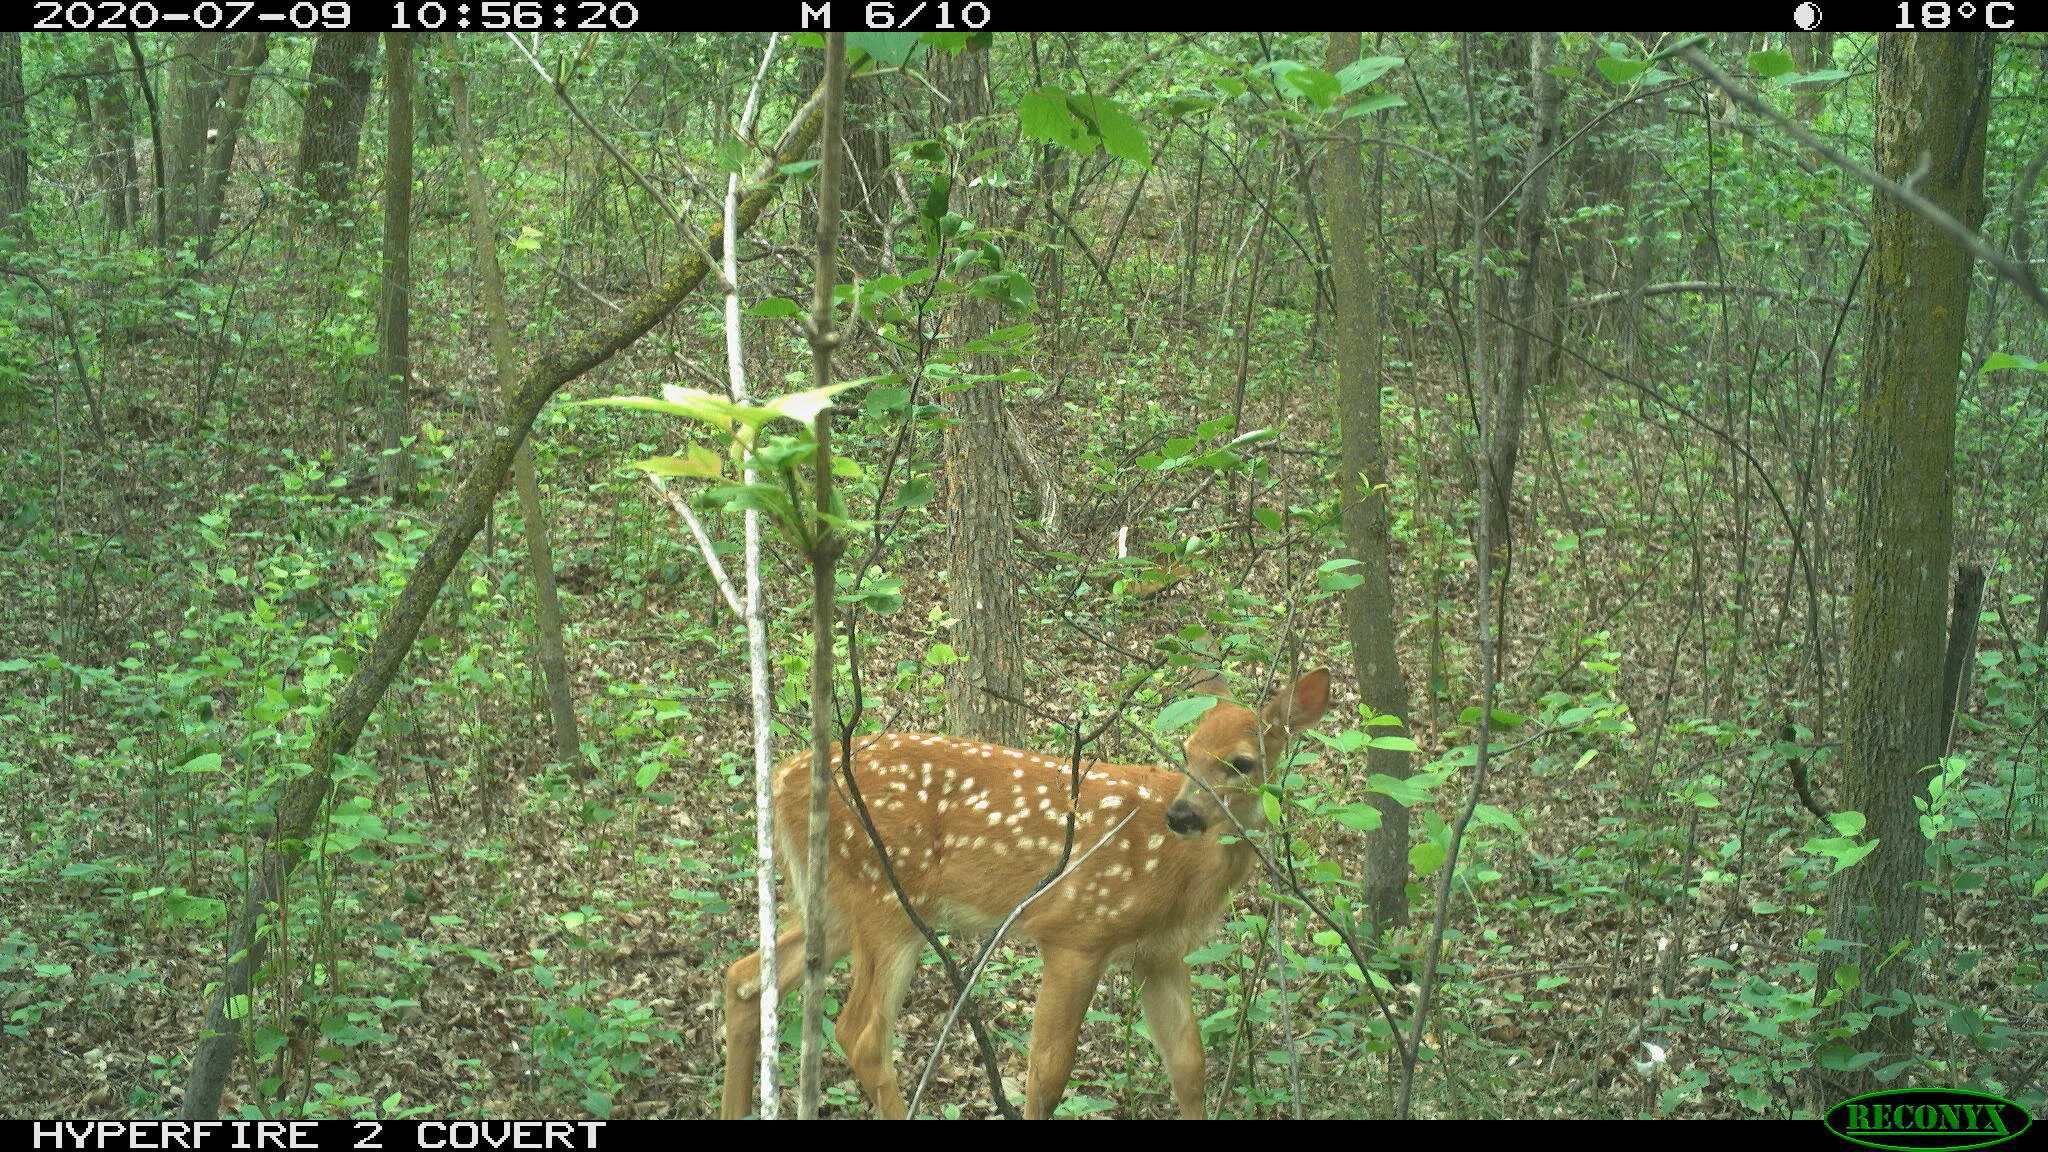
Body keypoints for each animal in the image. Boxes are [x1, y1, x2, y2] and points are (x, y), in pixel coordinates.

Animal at [720, 668, 1331, 1119]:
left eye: (1241, 763)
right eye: (1186, 751)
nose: (1181, 815)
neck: (1180, 873)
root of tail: (780, 779)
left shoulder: (1158, 953)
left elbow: (1188, 1066)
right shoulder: (1077, 931)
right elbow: (1048, 1072)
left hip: (837, 903)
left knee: (745, 977)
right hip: (887, 899)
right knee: (862, 1033)